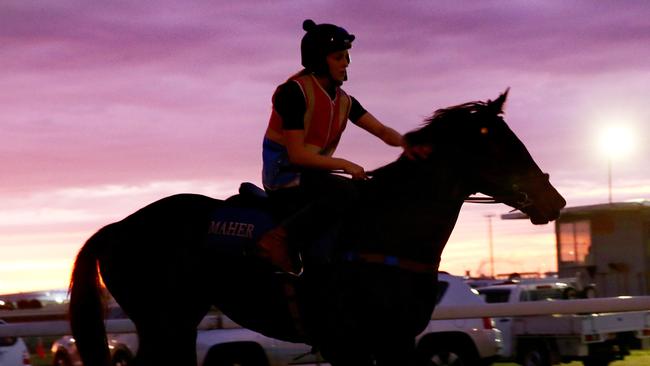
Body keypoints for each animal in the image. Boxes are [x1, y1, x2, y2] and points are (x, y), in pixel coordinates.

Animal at [67, 89, 560, 366]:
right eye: (503, 147)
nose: (554, 201)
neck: (386, 232)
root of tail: (118, 227)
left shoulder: (398, 341)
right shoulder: (347, 343)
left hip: (178, 323)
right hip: (160, 322)